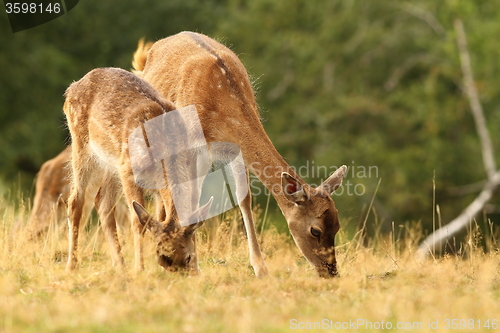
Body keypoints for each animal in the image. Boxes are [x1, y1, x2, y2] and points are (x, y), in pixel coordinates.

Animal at [63, 67, 212, 272]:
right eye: (162, 258)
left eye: (188, 258)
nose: (174, 272)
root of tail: (72, 88)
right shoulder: (129, 170)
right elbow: (138, 221)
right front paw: (139, 268)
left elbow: (163, 216)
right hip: (82, 144)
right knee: (76, 200)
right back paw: (72, 265)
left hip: (111, 162)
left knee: (103, 202)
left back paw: (120, 266)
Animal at [131, 31, 346, 276]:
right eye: (315, 230)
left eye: (337, 225)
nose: (331, 271)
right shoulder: (195, 148)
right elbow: (193, 198)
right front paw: (193, 263)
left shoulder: (236, 152)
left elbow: (244, 197)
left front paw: (261, 268)